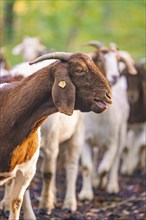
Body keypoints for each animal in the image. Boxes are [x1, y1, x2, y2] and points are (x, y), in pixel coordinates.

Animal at [0, 51, 112, 220]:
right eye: (79, 70)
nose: (108, 95)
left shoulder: (28, 167)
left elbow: (19, 199)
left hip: (77, 136)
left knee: (71, 166)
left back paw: (69, 203)